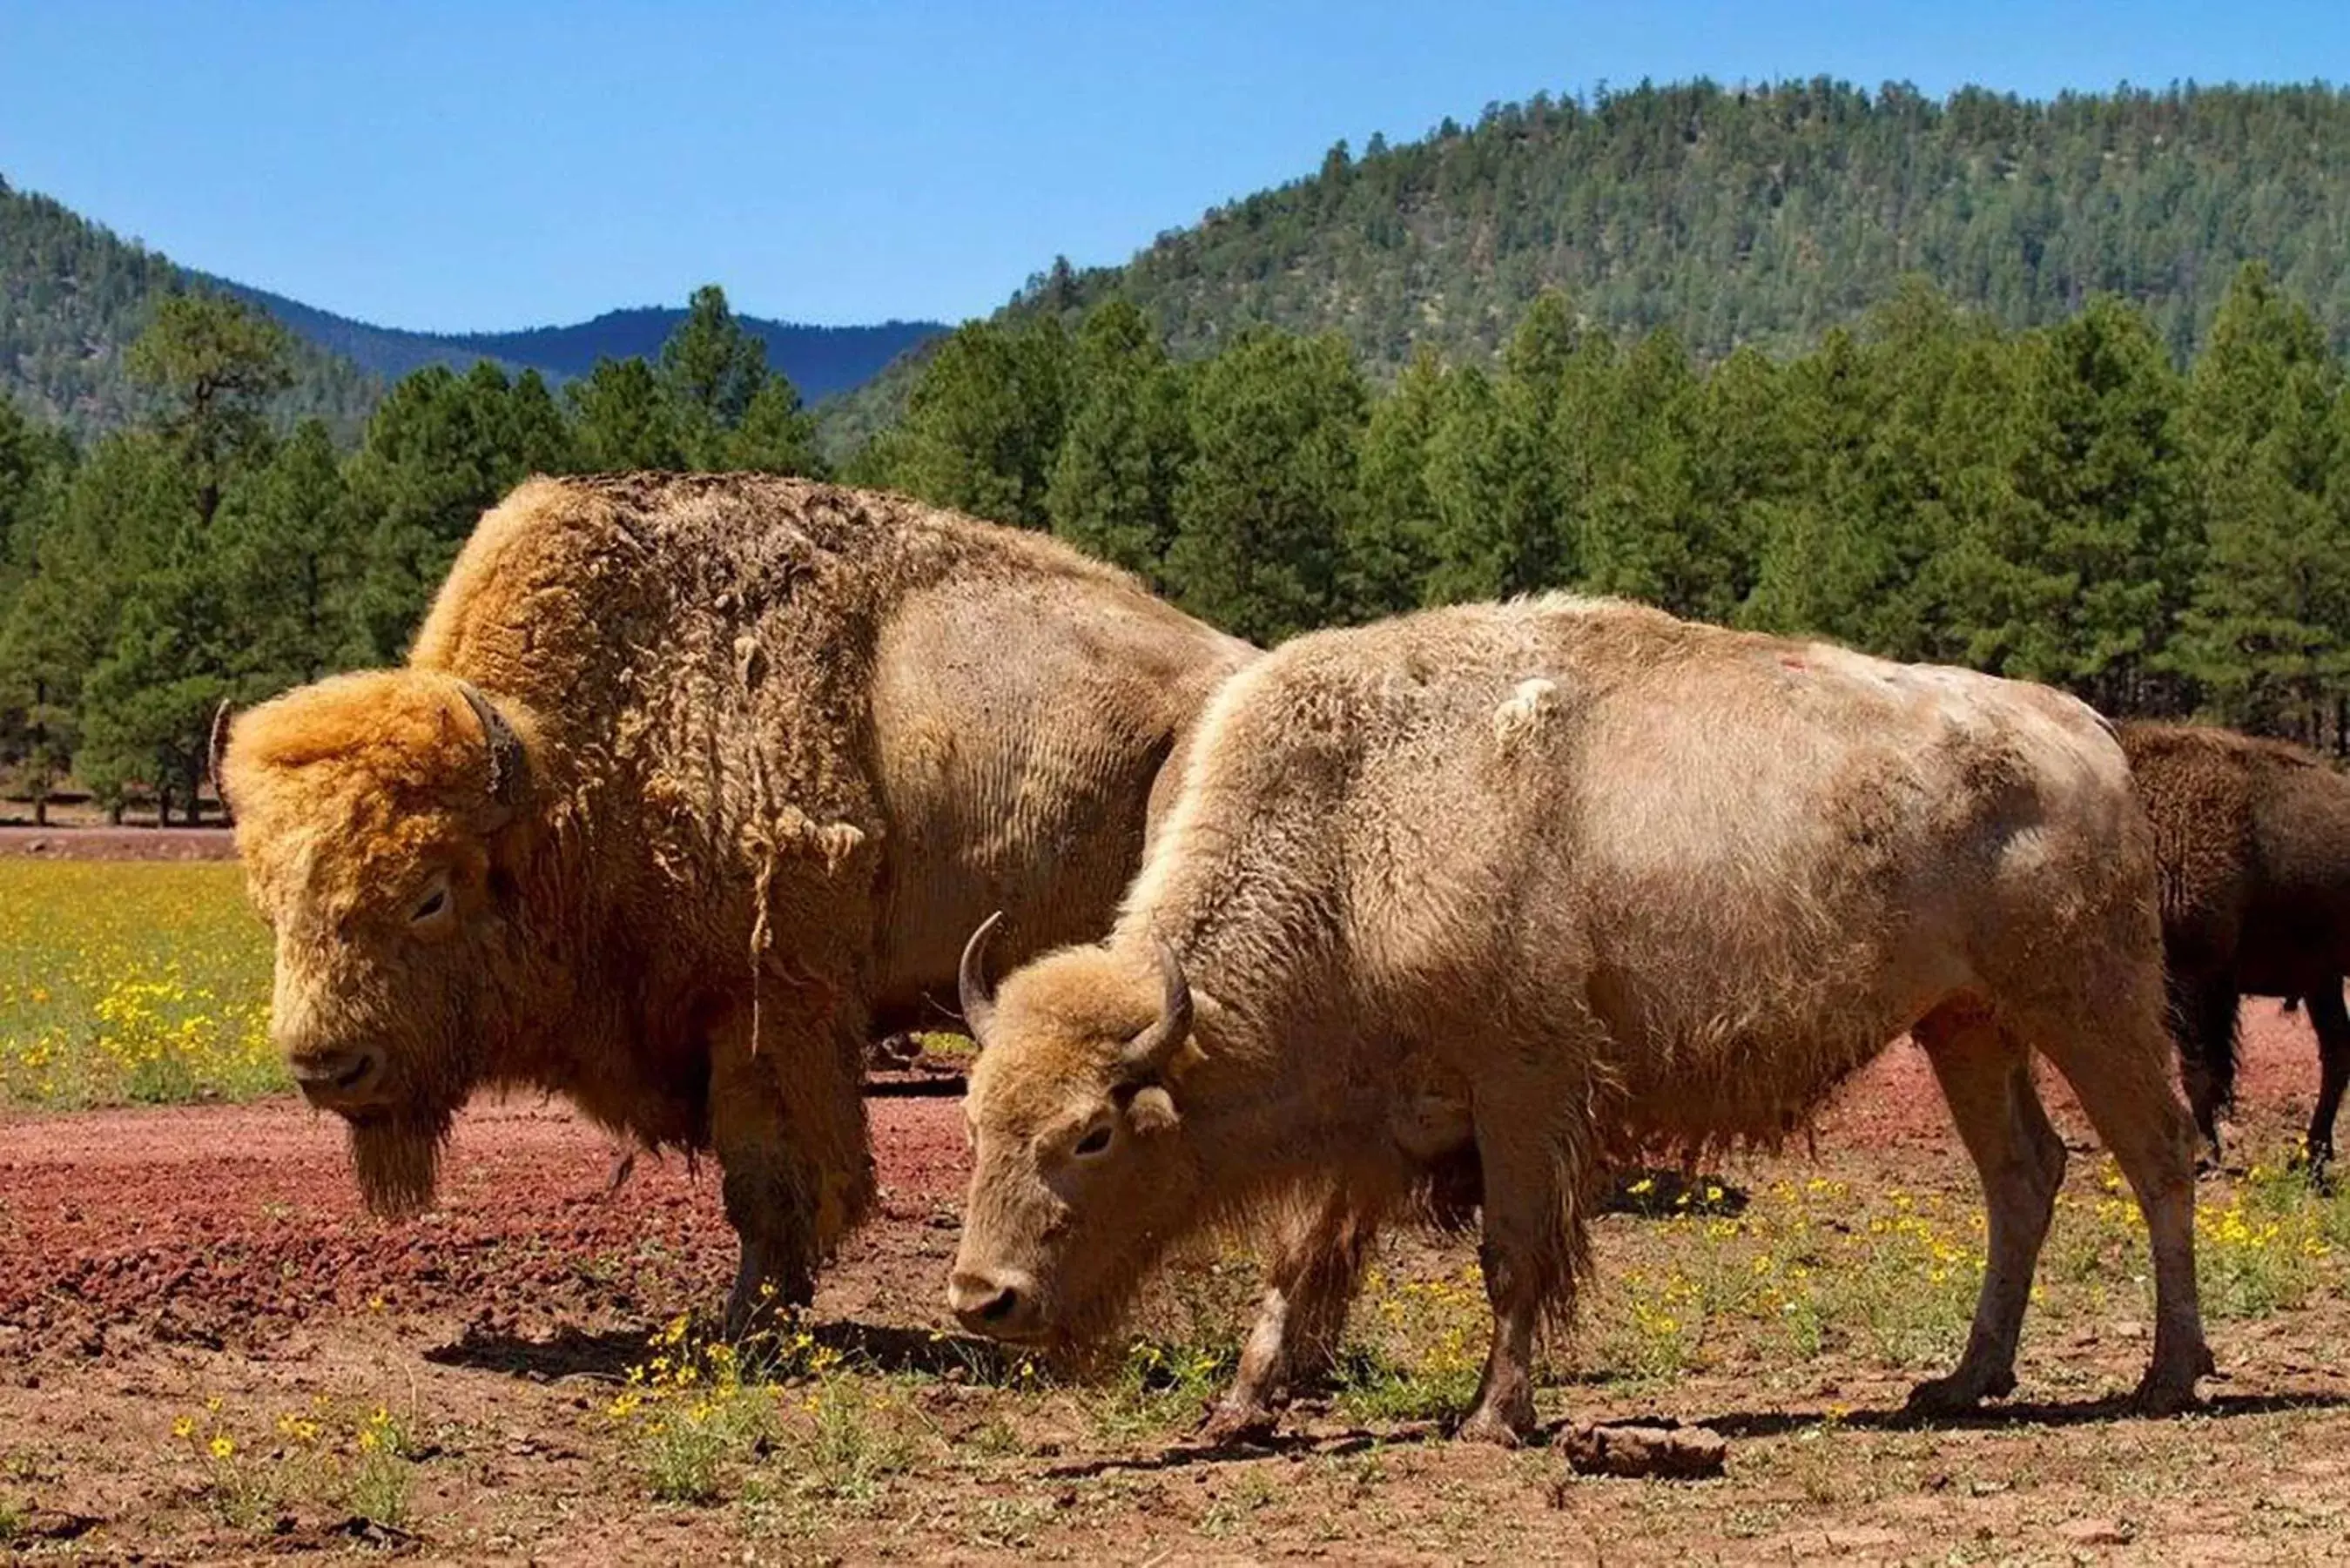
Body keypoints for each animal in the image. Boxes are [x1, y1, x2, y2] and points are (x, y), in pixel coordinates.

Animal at [211, 474, 1259, 1325]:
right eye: (269, 904)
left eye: (429, 895)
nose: (327, 1064)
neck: (564, 772)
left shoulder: (766, 1011)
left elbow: (768, 1178)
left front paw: (749, 1321)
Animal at [2115, 729, 2350, 1184]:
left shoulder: (2194, 979)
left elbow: (2200, 1072)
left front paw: (2205, 1154)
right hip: (2322, 980)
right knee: (2336, 1051)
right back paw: (2310, 1158)